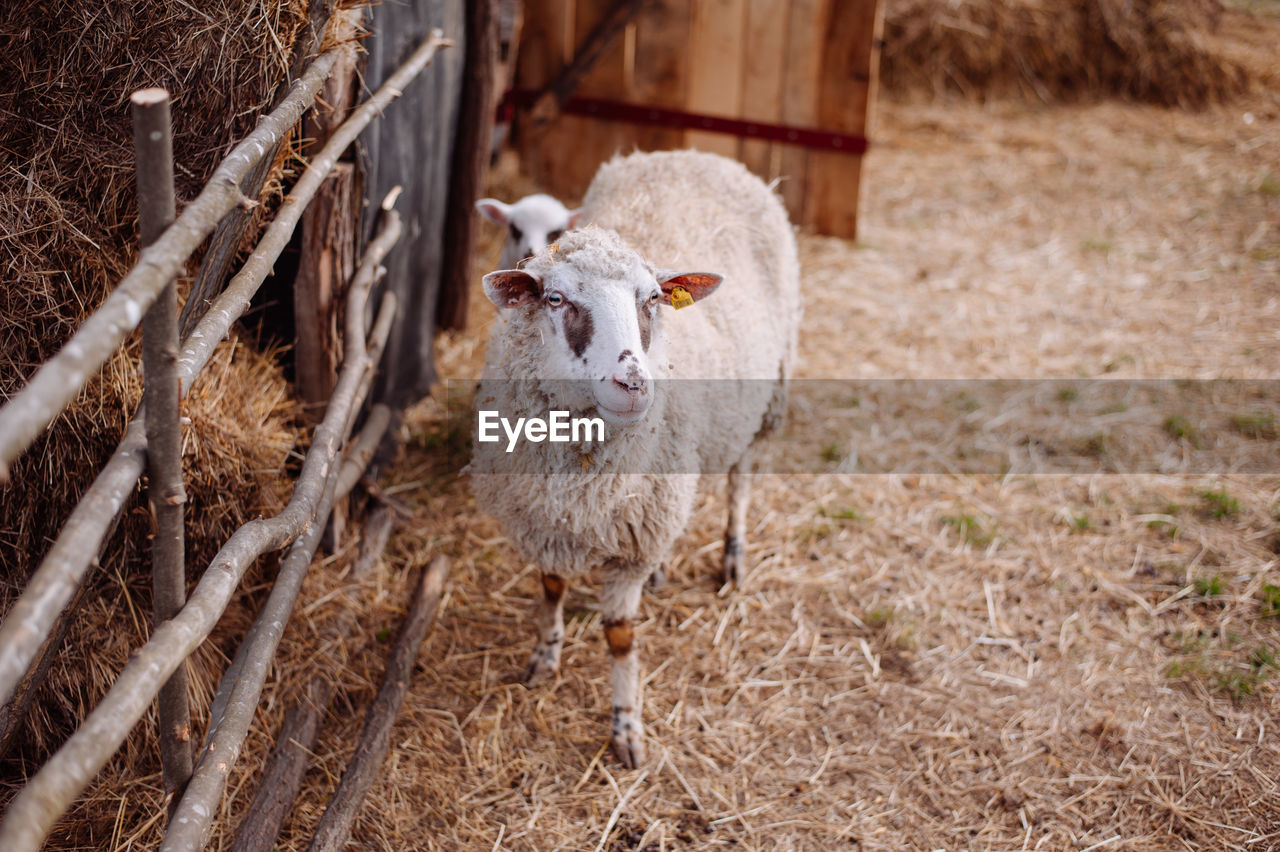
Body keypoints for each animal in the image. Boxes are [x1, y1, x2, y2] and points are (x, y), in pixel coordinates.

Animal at [471, 149, 798, 767]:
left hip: (768, 396)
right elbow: (550, 590)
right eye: (555, 299)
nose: (633, 384)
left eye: (652, 299)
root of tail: (695, 154)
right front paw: (544, 658)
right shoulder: (544, 520)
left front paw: (626, 726)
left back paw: (733, 555)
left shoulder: (632, 545)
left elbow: (620, 638)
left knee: (740, 480)